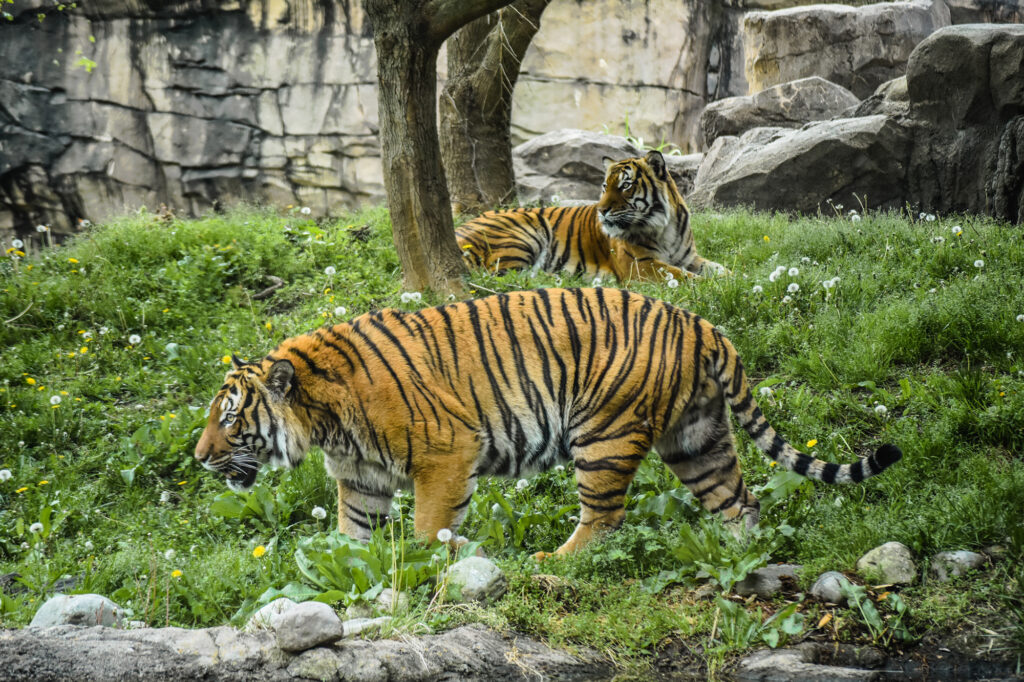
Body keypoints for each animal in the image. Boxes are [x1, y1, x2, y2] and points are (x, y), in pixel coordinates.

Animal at [195, 288, 901, 558]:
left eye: (229, 419)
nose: (199, 457)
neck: (323, 420)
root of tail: (699, 323)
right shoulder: (362, 478)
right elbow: (352, 534)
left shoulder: (446, 453)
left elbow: (427, 529)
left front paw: (424, 571)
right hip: (697, 441)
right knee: (740, 503)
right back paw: (741, 558)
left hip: (603, 434)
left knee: (605, 519)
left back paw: (553, 562)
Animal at [455, 150, 728, 284]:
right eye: (605, 187)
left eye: (625, 186)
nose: (601, 210)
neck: (665, 226)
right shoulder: (641, 264)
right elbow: (685, 276)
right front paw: (712, 285)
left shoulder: (689, 257)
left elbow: (719, 268)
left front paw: (733, 279)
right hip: (524, 234)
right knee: (508, 274)